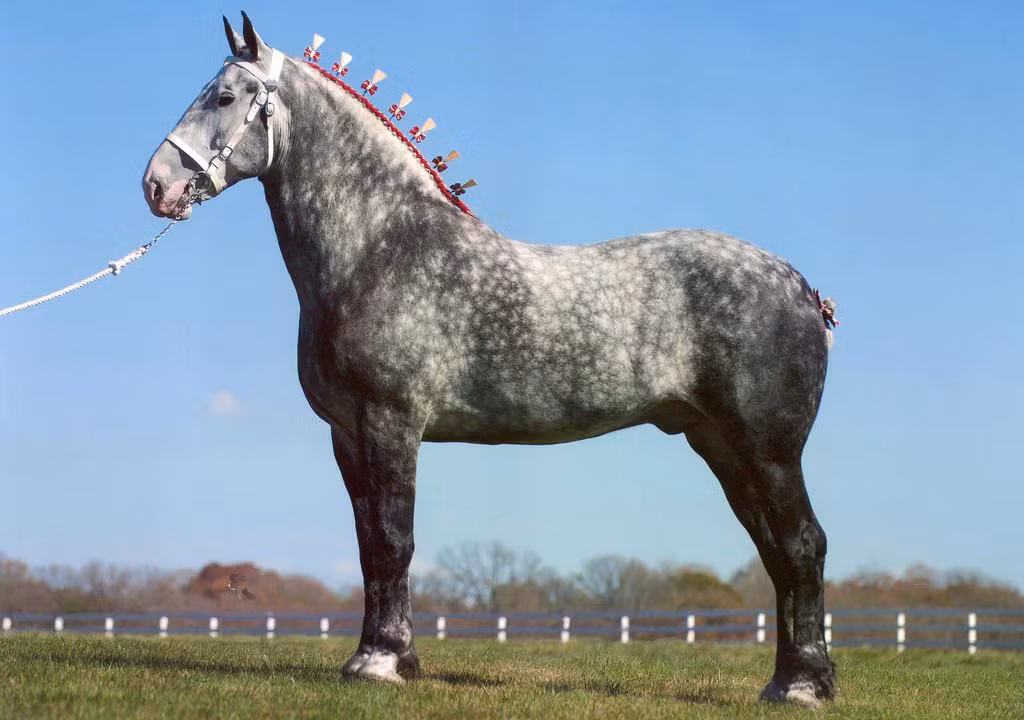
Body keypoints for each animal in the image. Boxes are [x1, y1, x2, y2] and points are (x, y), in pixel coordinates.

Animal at [143, 13, 838, 707]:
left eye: (223, 97)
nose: (156, 184)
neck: (379, 246)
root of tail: (803, 288)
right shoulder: (346, 434)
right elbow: (369, 547)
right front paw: (377, 655)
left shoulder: (390, 422)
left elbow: (394, 539)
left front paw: (383, 661)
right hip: (721, 445)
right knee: (777, 553)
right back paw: (793, 680)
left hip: (768, 451)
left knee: (802, 546)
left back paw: (802, 686)